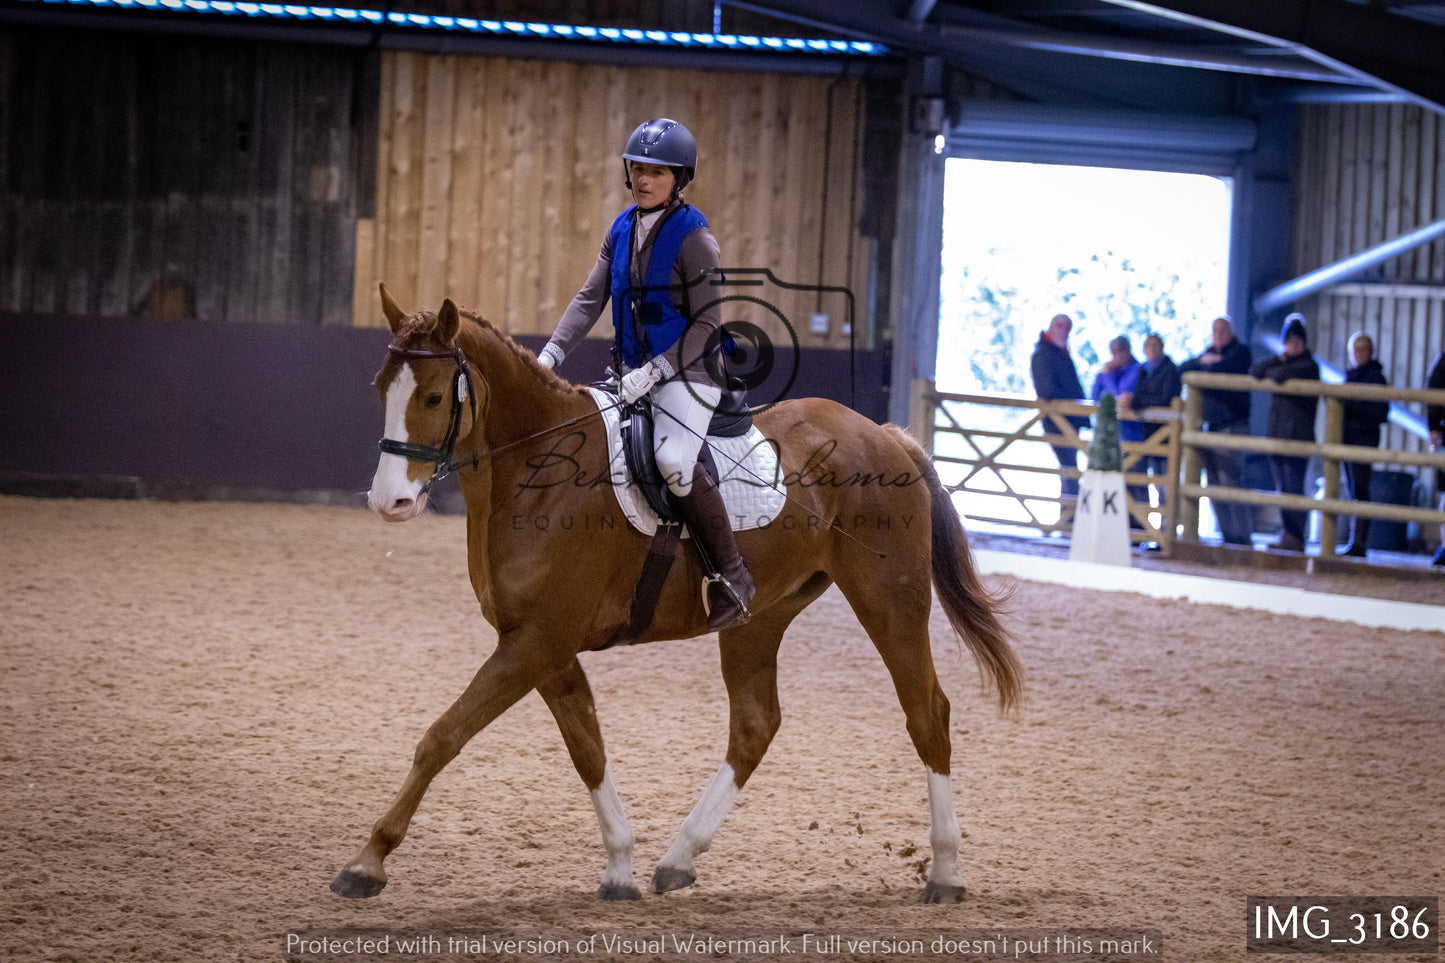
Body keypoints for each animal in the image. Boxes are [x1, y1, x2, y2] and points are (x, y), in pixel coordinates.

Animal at [332, 289, 1023, 902]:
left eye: (432, 395)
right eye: (378, 390)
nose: (389, 502)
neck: (536, 471)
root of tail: (881, 433)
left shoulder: (534, 643)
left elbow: (443, 736)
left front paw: (367, 863)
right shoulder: (541, 647)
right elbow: (587, 746)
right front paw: (620, 869)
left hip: (890, 600)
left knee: (927, 713)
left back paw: (946, 872)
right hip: (758, 618)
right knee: (755, 725)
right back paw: (679, 858)